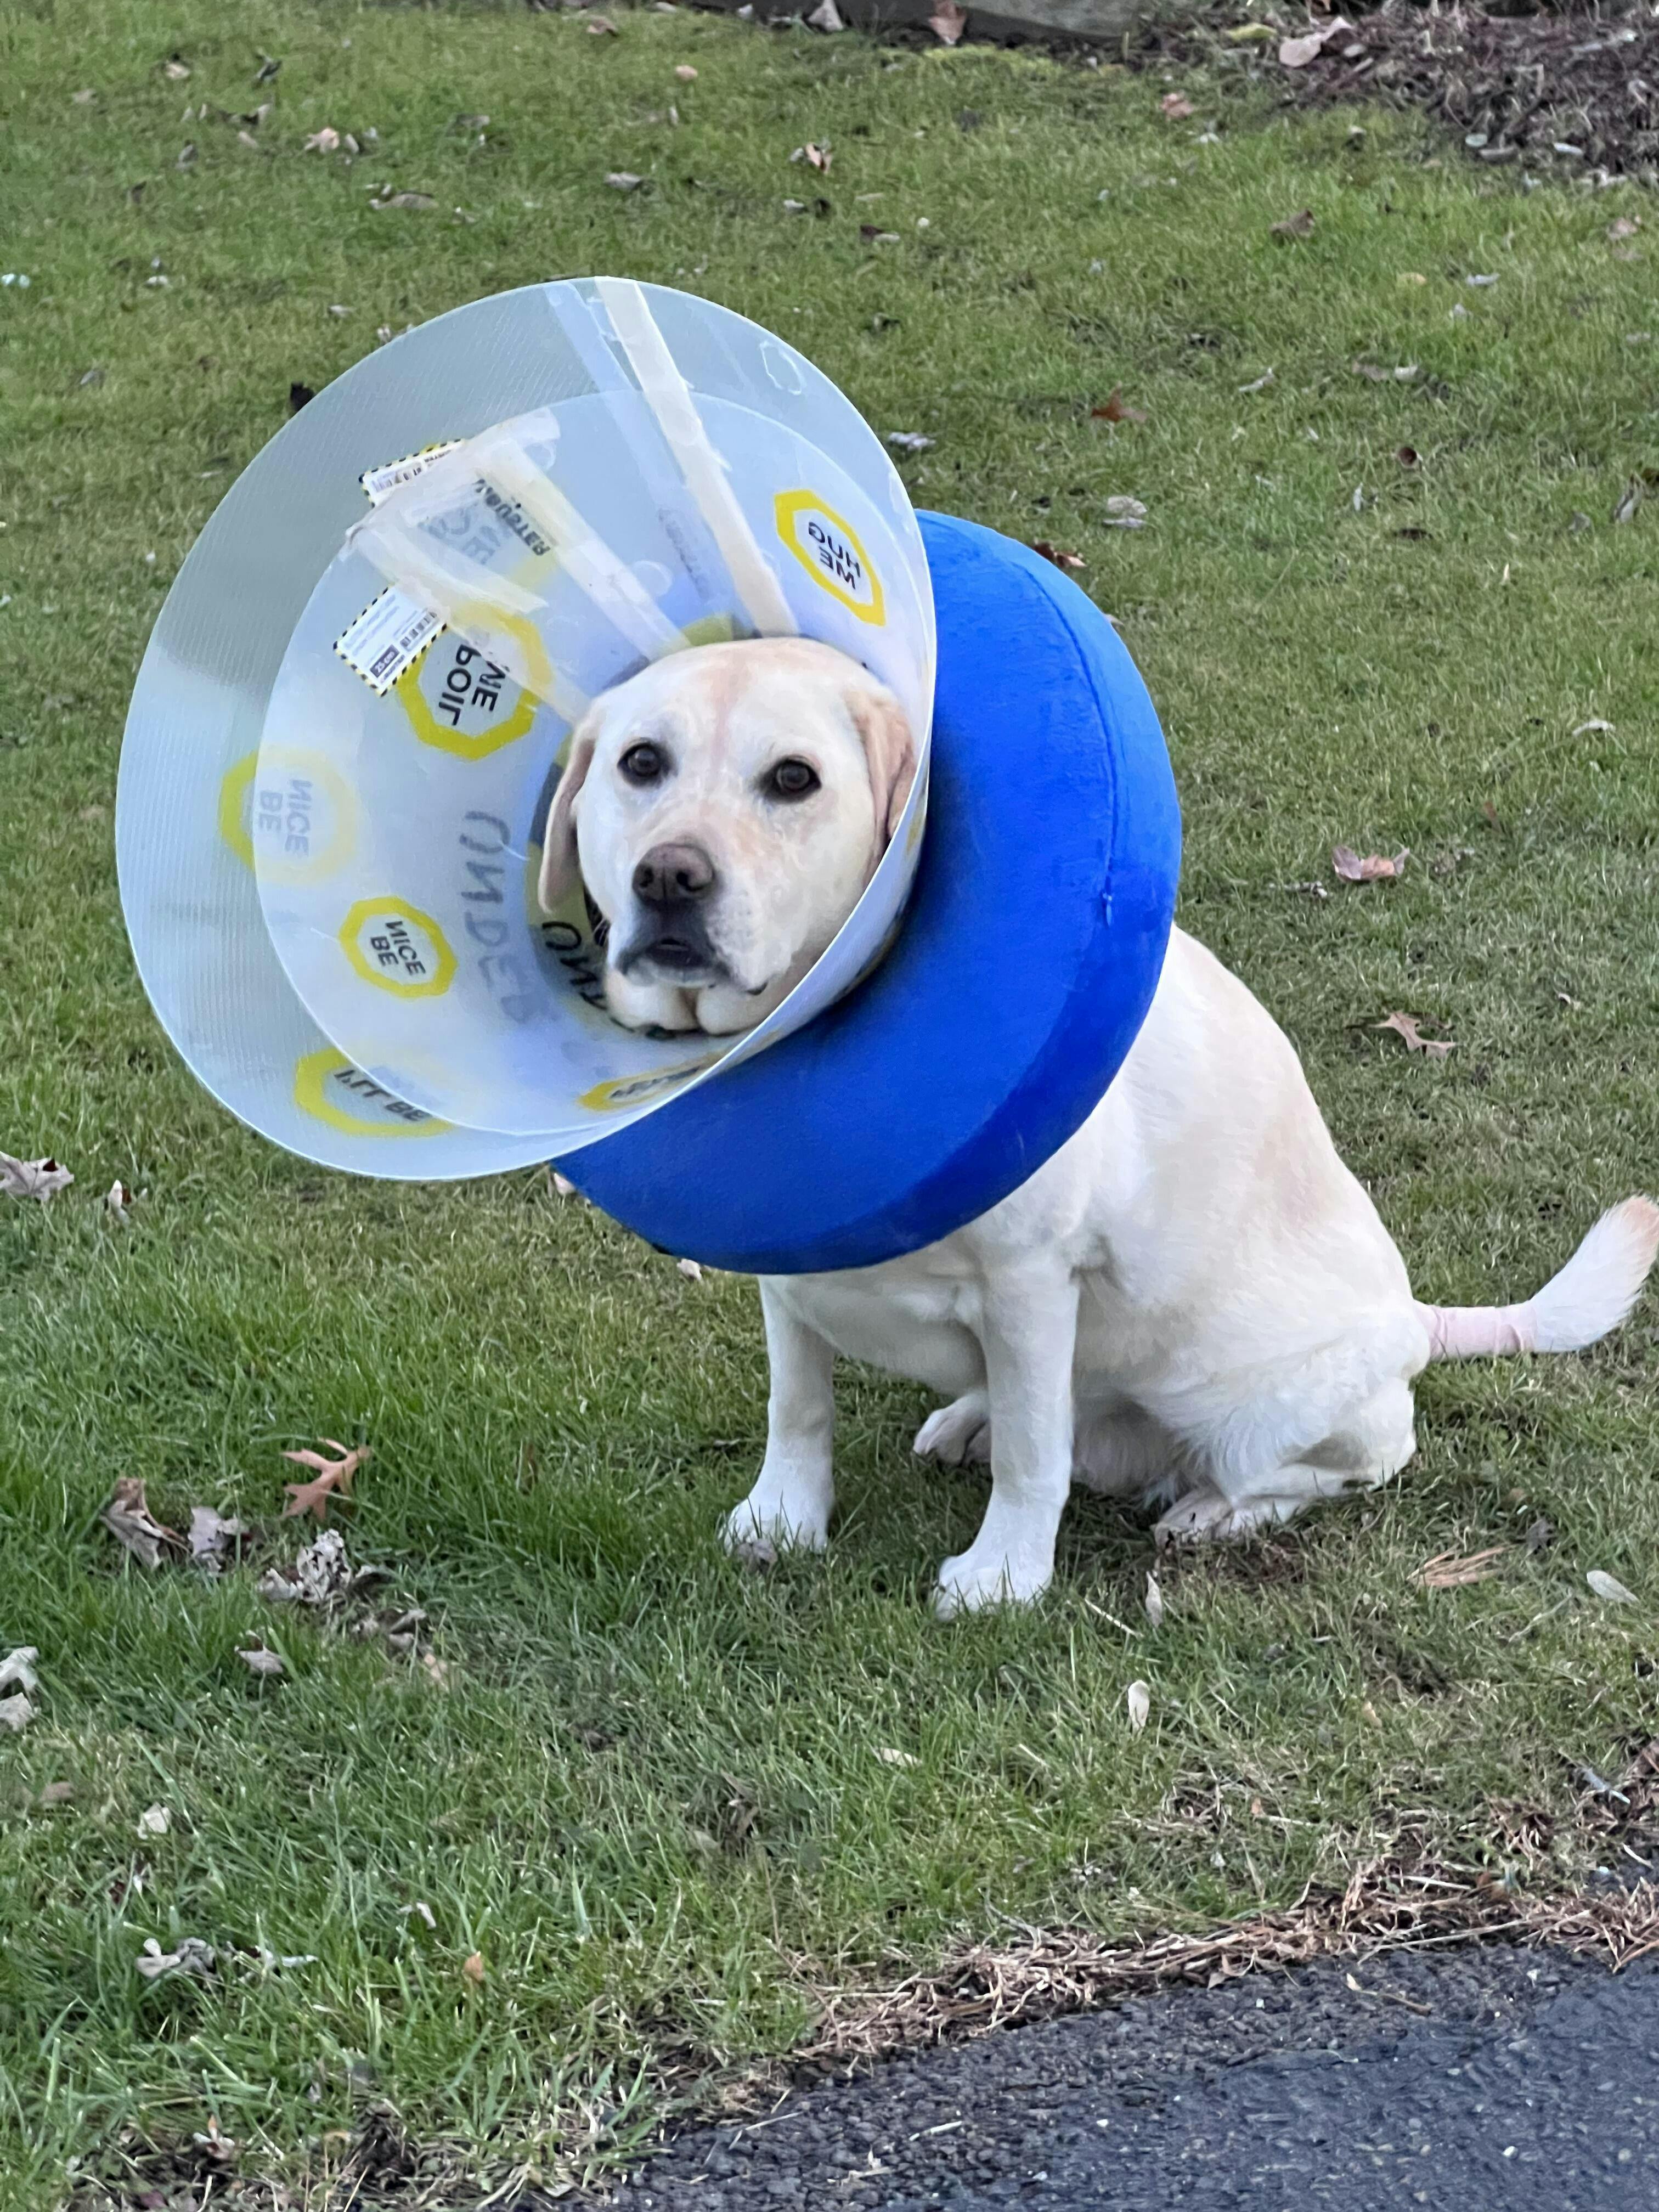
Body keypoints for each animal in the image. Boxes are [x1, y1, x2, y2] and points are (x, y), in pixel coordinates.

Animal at [543, 638, 1659, 1616]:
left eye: (792, 779)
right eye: (641, 762)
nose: (669, 878)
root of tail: (1414, 1319)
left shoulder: (1032, 1280)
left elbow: (1037, 1454)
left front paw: (1001, 1578)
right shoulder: (787, 1274)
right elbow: (799, 1406)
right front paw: (781, 1519)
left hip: (1250, 1402)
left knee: (1345, 1465)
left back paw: (1209, 1512)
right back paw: (969, 1419)